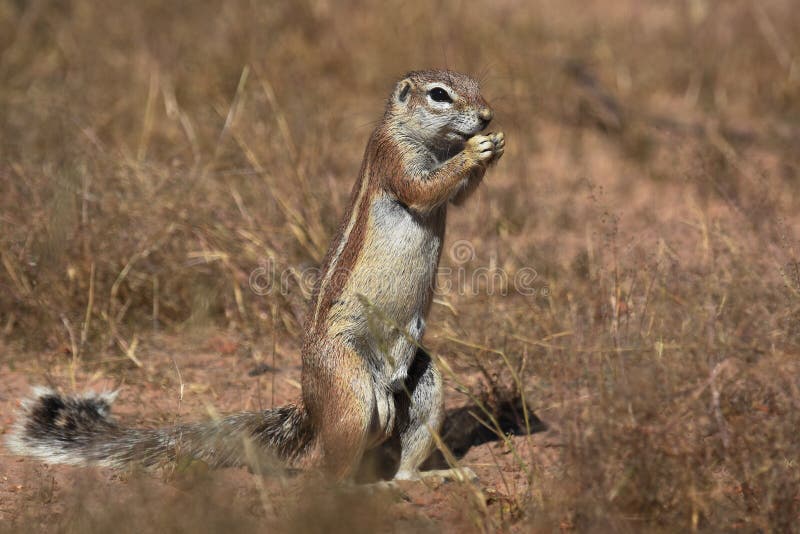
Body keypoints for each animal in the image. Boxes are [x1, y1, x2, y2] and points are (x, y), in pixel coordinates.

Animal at [6, 69, 505, 482]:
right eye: (439, 95)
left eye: (476, 85)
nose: (487, 115)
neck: (424, 139)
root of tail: (313, 406)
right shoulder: (394, 158)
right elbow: (423, 189)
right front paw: (476, 150)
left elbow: (456, 198)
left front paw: (492, 147)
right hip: (348, 386)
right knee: (332, 473)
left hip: (424, 381)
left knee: (405, 445)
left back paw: (427, 477)